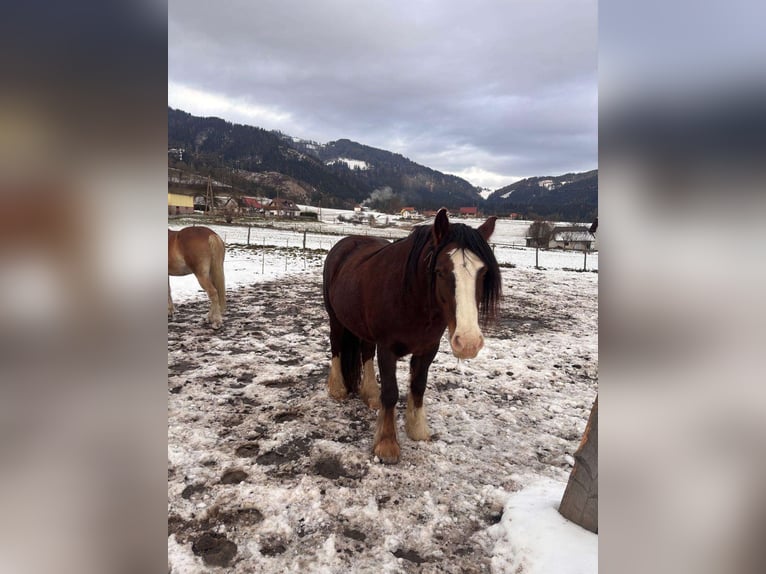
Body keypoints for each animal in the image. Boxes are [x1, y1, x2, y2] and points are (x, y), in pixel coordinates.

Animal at [324, 209, 504, 466]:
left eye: (483, 272)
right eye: (440, 271)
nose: (468, 342)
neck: (410, 298)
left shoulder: (428, 348)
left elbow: (418, 386)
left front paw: (417, 429)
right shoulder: (387, 348)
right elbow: (391, 392)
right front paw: (387, 444)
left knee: (366, 353)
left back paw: (370, 395)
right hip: (336, 319)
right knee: (336, 346)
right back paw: (338, 389)